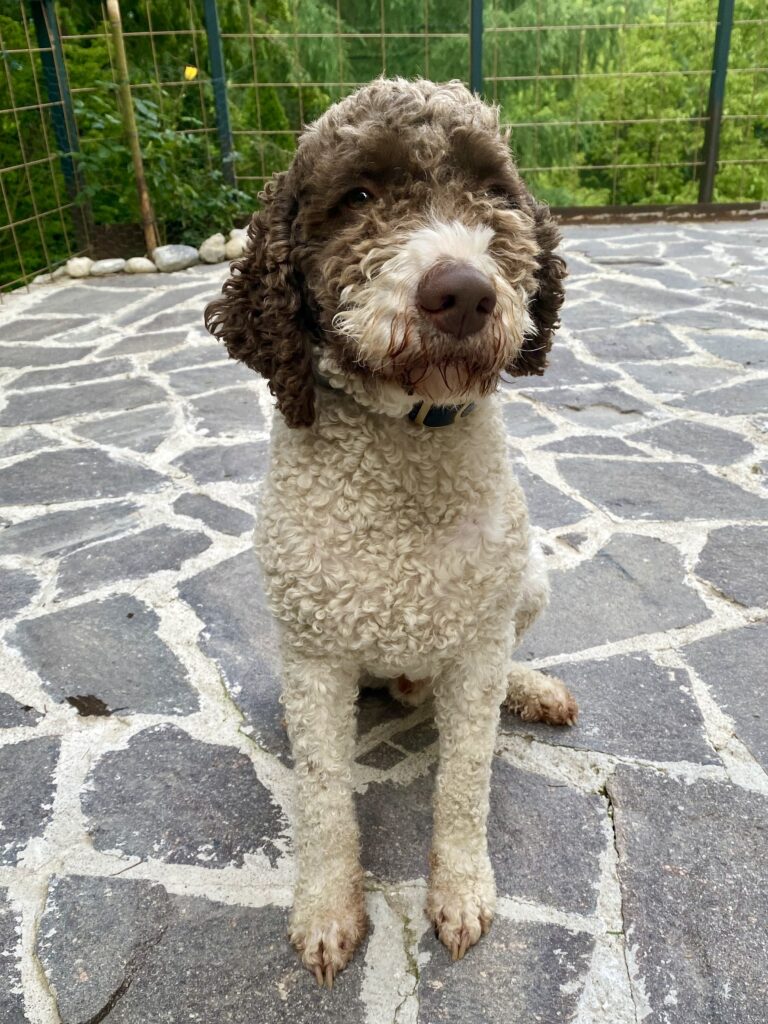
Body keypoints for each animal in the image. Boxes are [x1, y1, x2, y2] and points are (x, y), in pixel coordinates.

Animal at [205, 77, 577, 987]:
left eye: (491, 192)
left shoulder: (477, 648)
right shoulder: (314, 657)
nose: (463, 291)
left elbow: (466, 782)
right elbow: (324, 798)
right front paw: (327, 911)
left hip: (529, 579)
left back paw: (531, 689)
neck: (407, 450)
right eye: (359, 197)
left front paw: (462, 891)